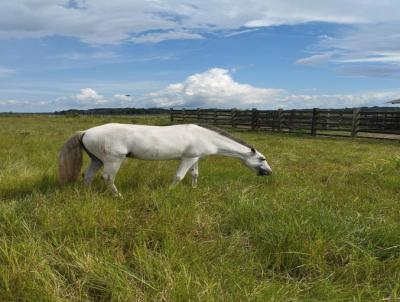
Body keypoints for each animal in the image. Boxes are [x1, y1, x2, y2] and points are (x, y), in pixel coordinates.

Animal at [59, 122, 272, 196]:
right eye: (262, 159)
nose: (269, 172)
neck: (205, 136)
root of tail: (85, 131)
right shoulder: (187, 158)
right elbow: (178, 177)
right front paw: (169, 192)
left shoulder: (195, 158)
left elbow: (194, 175)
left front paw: (194, 190)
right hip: (113, 160)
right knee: (108, 178)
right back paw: (118, 196)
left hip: (96, 160)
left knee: (88, 176)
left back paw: (86, 194)